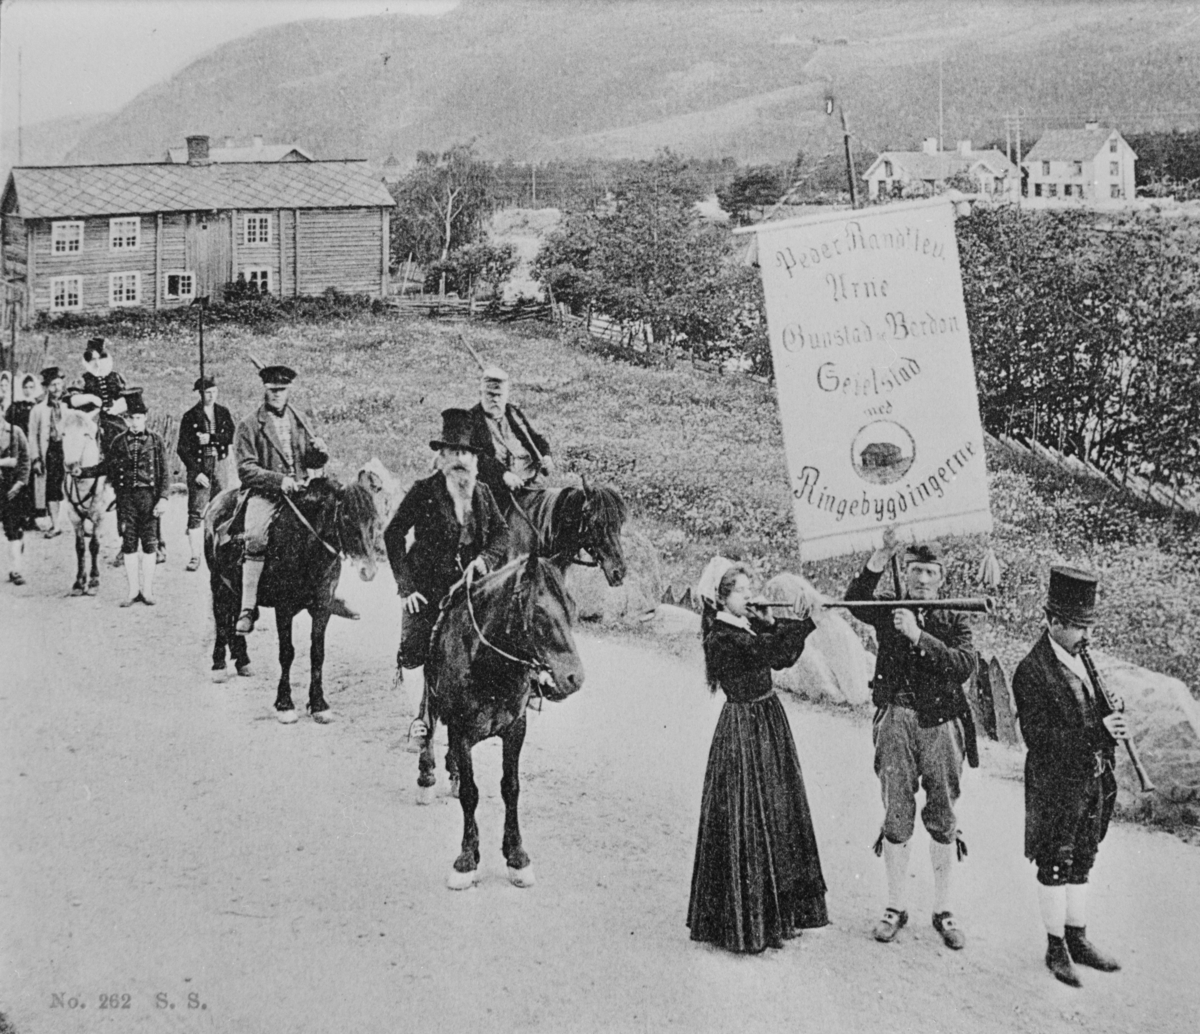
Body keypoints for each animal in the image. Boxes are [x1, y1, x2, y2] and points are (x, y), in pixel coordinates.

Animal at [59, 405, 110, 599]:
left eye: (85, 434)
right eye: (63, 433)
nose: (71, 465)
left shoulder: (99, 515)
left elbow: (94, 545)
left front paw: (94, 581)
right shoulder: (73, 515)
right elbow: (80, 547)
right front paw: (79, 582)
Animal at [201, 475, 379, 724]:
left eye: (373, 519)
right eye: (346, 517)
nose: (368, 571)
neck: (305, 546)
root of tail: (217, 500)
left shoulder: (322, 608)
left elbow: (317, 653)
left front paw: (318, 704)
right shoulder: (283, 609)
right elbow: (287, 653)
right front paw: (285, 704)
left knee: (236, 615)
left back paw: (242, 658)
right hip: (217, 581)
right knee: (220, 617)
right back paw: (218, 665)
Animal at [420, 554, 583, 892]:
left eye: (572, 607)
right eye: (539, 611)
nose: (574, 678)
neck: (488, 664)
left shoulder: (516, 729)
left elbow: (511, 787)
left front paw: (517, 856)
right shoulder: (460, 731)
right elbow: (471, 793)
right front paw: (466, 859)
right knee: (426, 719)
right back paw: (426, 774)